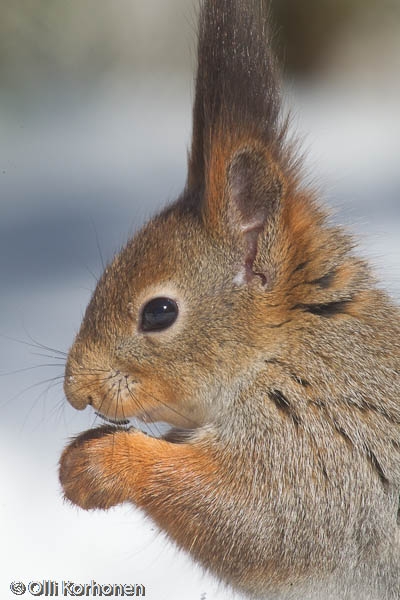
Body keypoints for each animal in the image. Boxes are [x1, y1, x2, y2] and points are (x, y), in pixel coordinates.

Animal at [59, 1, 400, 600]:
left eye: (159, 312)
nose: (77, 390)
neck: (284, 351)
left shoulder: (318, 447)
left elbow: (254, 518)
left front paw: (101, 463)